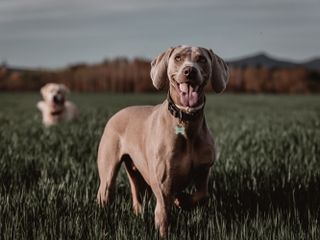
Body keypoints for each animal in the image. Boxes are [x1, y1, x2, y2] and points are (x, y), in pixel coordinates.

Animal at [96, 45, 229, 236]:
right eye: (178, 58)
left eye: (202, 59)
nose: (189, 71)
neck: (185, 122)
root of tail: (116, 114)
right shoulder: (163, 186)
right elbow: (164, 217)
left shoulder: (203, 171)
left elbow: (202, 195)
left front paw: (182, 200)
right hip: (108, 172)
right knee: (105, 192)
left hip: (137, 173)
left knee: (137, 197)